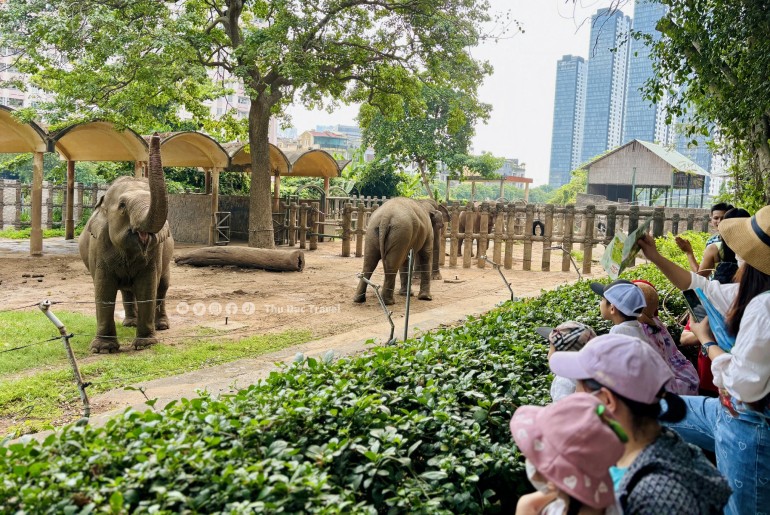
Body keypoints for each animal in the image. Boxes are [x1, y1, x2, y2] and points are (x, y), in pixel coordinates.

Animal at [78, 132, 174, 354]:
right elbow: (103, 289)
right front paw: (103, 349)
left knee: (162, 286)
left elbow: (148, 286)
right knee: (126, 289)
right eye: (122, 206)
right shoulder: (99, 248)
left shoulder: (155, 254)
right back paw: (130, 323)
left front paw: (145, 344)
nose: (156, 135)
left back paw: (161, 325)